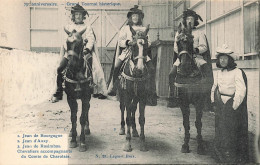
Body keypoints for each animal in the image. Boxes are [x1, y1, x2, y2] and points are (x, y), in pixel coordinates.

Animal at [118, 24, 150, 152]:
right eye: (133, 45)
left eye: (146, 45)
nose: (139, 69)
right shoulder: (126, 95)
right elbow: (127, 116)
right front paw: (127, 143)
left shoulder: (142, 97)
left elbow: (141, 118)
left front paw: (142, 142)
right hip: (122, 95)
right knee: (123, 109)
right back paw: (122, 129)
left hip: (135, 97)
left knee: (133, 109)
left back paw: (135, 130)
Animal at [173, 22, 213, 155]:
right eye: (178, 42)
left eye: (191, 42)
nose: (184, 65)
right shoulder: (183, 102)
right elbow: (186, 123)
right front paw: (185, 144)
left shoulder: (199, 102)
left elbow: (198, 123)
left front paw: (200, 145)